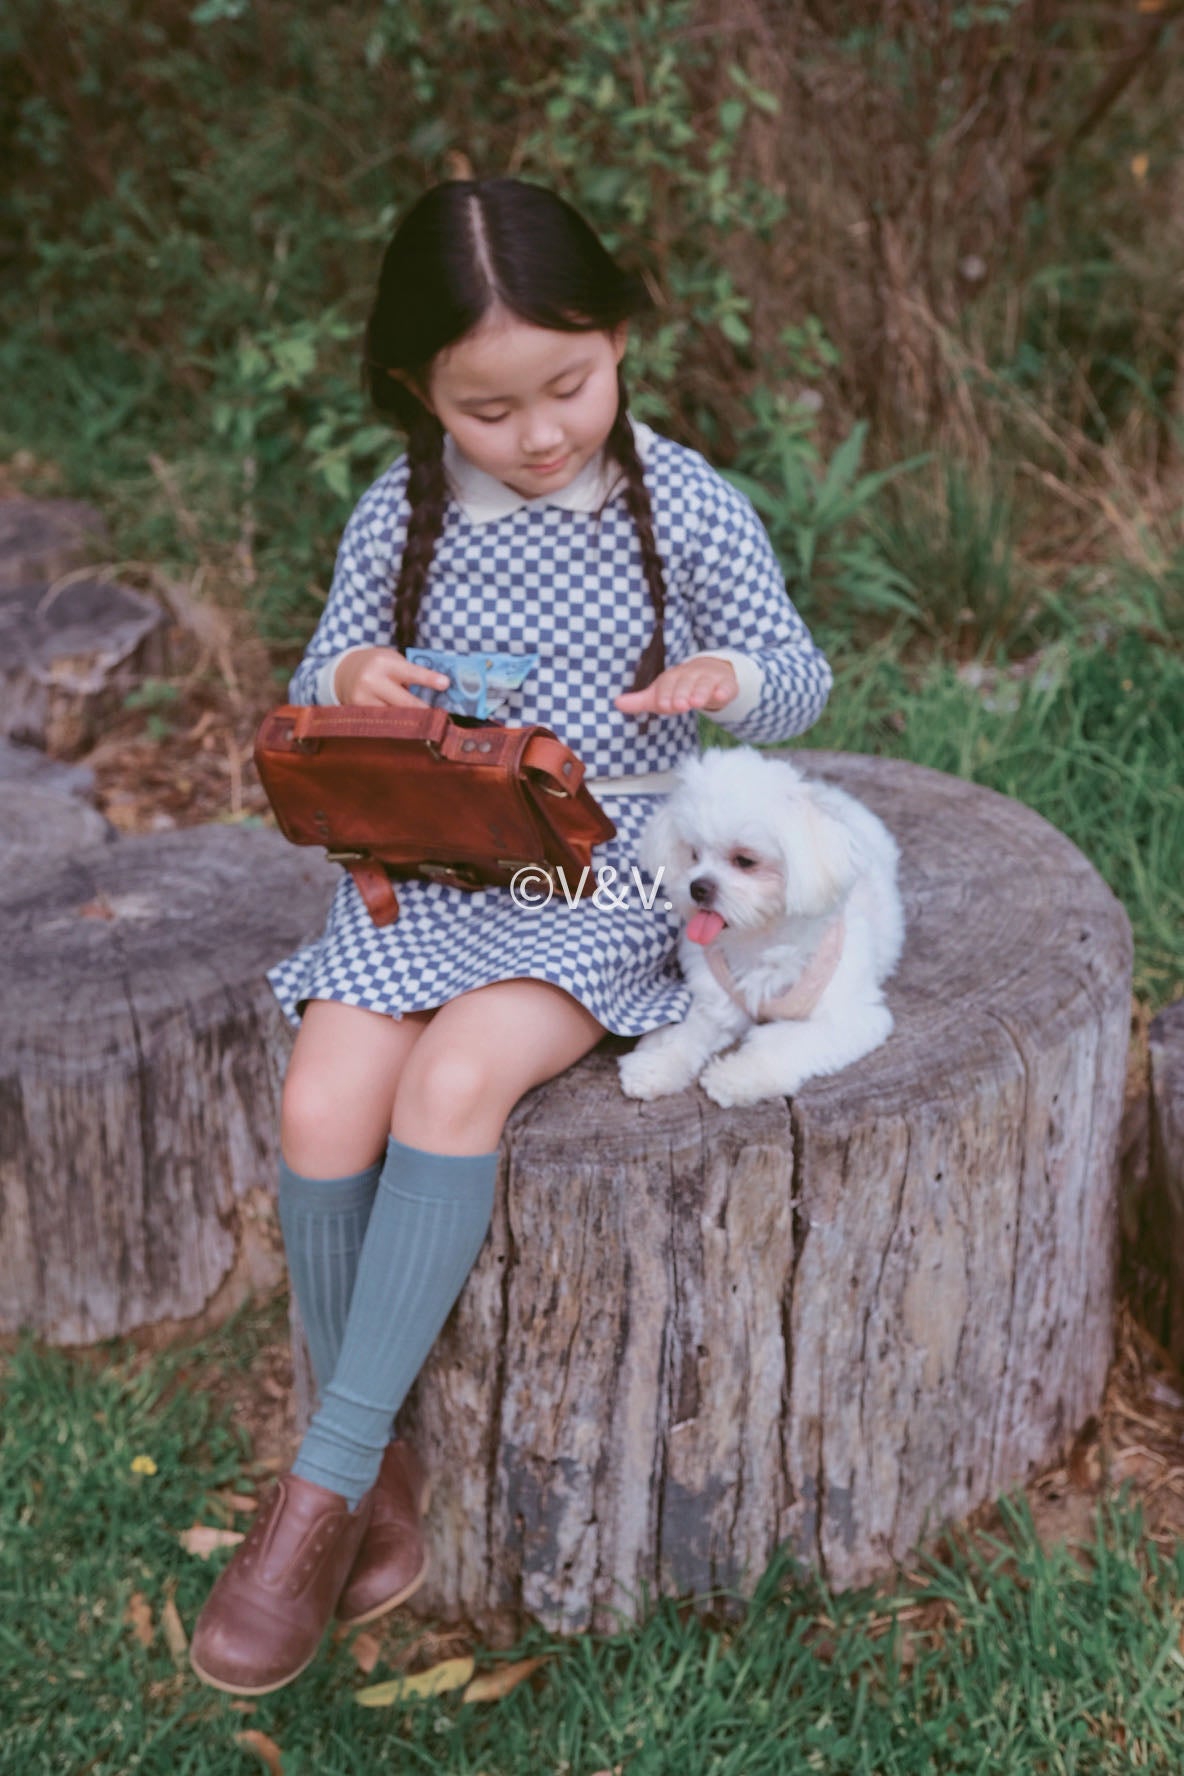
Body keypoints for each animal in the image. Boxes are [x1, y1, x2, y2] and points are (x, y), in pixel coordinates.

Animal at [617, 749, 901, 1108]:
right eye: (693, 853)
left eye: (745, 861)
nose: (698, 887)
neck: (760, 939)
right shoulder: (718, 1002)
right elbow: (685, 1033)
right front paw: (655, 1066)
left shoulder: (850, 1018)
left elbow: (783, 1044)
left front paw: (736, 1077)